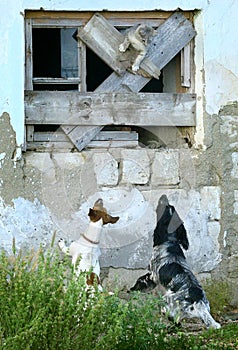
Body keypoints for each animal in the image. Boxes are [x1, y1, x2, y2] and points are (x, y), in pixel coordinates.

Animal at [131, 194, 220, 328]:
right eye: (171, 207)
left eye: (164, 207)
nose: (164, 196)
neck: (170, 241)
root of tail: (198, 302)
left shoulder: (153, 274)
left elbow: (145, 278)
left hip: (167, 299)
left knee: (168, 313)